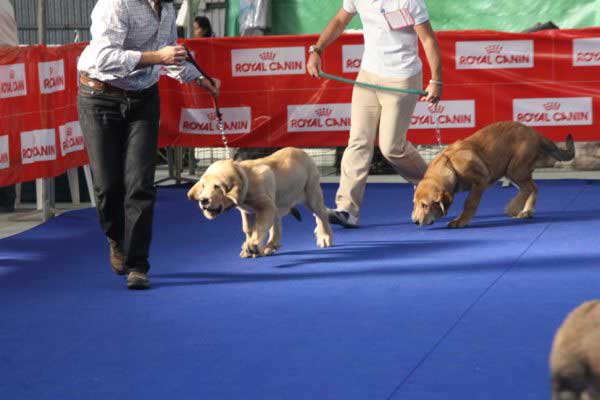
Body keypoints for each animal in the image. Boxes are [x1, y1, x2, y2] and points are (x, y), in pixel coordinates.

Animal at [188, 147, 332, 256]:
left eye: (217, 187)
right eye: (203, 186)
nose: (203, 200)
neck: (246, 179)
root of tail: (304, 153)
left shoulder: (266, 207)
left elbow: (259, 227)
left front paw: (252, 245)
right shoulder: (247, 212)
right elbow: (247, 228)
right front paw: (248, 246)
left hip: (311, 192)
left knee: (321, 214)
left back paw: (325, 236)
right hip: (278, 204)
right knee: (277, 226)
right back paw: (271, 246)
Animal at [410, 120, 576, 228]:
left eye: (425, 205)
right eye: (415, 204)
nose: (415, 222)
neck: (450, 166)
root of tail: (535, 132)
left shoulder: (480, 181)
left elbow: (469, 203)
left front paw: (461, 221)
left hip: (515, 169)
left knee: (529, 188)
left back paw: (513, 208)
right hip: (513, 171)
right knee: (533, 187)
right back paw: (526, 211)